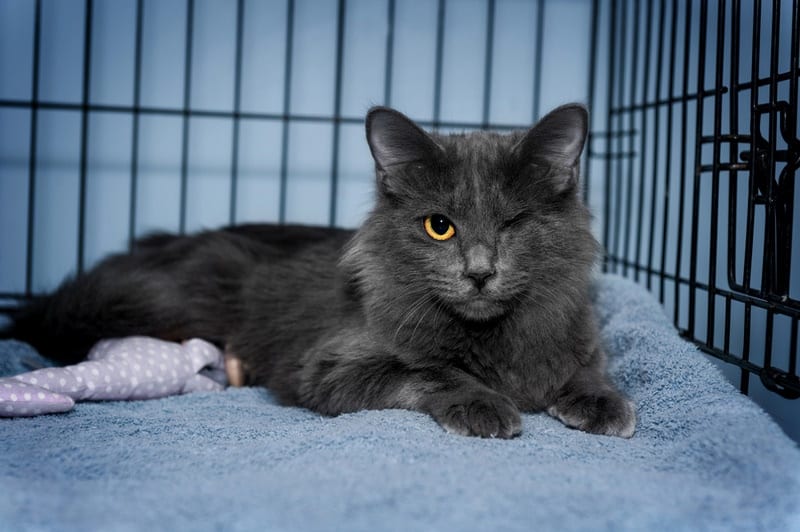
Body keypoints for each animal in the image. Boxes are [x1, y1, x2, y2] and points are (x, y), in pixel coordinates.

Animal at [3, 105, 636, 440]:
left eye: (514, 222)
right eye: (439, 227)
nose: (480, 272)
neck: (491, 335)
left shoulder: (581, 335)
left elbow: (589, 370)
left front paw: (605, 404)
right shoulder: (332, 368)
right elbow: (432, 371)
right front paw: (487, 405)